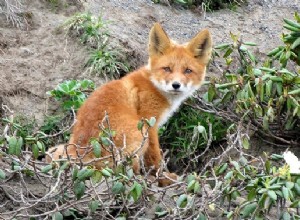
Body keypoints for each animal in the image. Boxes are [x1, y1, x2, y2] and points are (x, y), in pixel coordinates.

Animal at [47, 23, 212, 186]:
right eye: (167, 69)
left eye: (187, 71)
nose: (176, 85)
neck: (154, 85)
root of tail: (81, 151)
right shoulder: (149, 123)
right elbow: (154, 156)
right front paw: (162, 177)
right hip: (139, 134)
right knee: (124, 170)